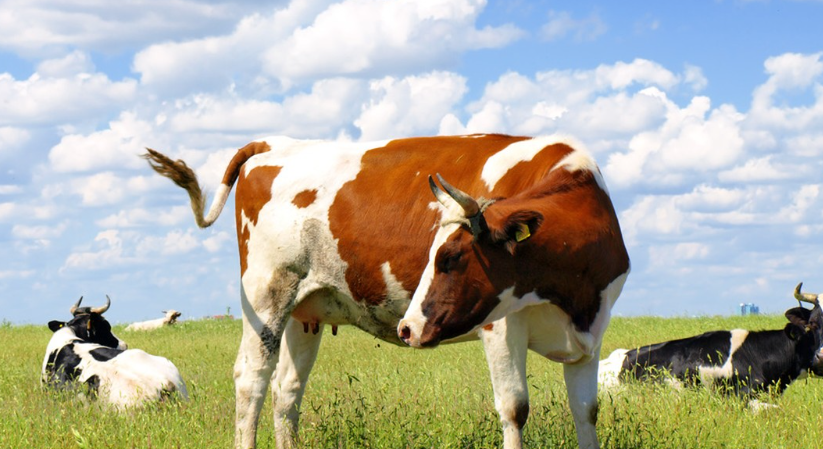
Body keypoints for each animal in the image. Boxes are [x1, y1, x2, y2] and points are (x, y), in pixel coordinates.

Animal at [143, 134, 630, 449]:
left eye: (450, 257)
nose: (409, 327)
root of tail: (273, 143)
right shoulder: (501, 327)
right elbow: (514, 409)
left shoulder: (591, 333)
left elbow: (586, 412)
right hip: (267, 292)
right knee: (252, 379)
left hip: (305, 309)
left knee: (287, 389)